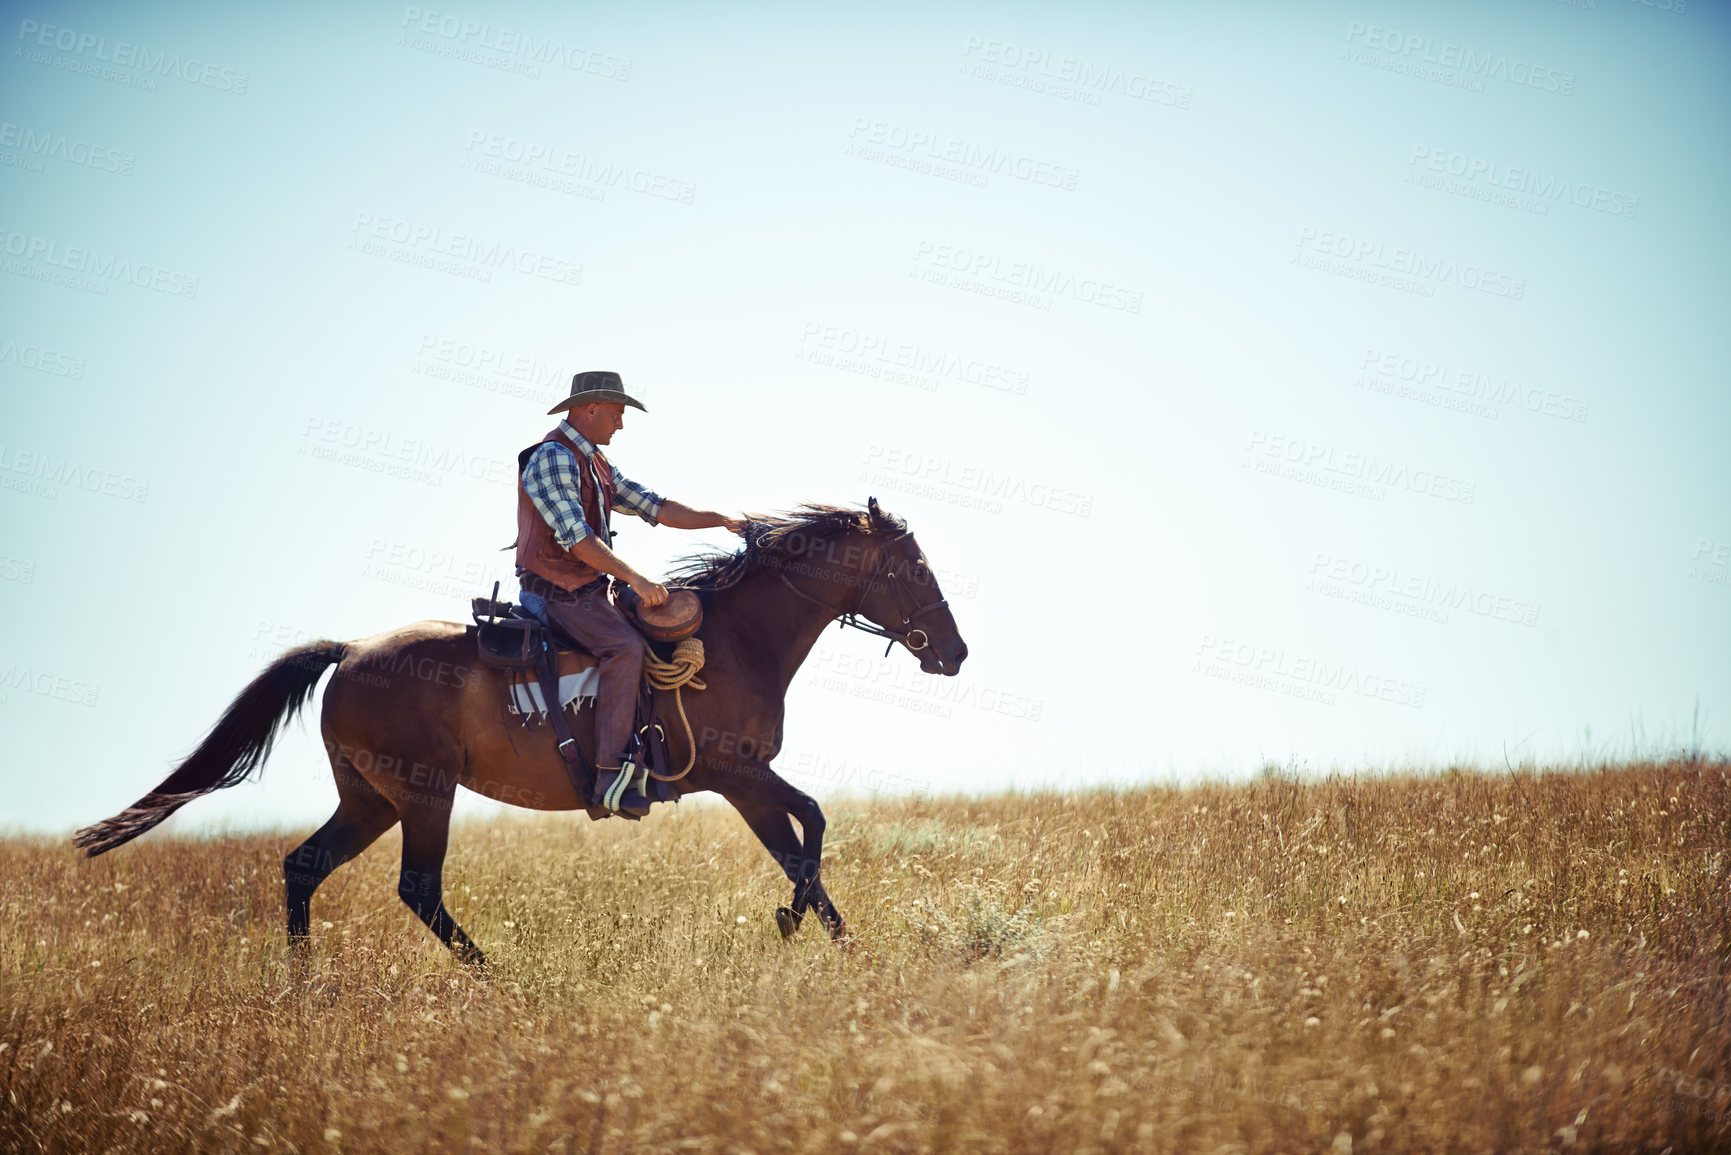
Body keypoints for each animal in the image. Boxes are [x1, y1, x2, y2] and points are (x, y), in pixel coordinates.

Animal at [74, 502, 969, 962]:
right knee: (418, 888)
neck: (732, 639)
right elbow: (809, 825)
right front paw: (805, 928)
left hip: (370, 797)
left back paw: (301, 983)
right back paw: (490, 976)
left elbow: (799, 845)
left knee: (304, 865)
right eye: (910, 567)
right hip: (422, 796)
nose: (954, 651)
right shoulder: (733, 772)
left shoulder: (742, 781)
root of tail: (351, 650)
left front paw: (837, 941)